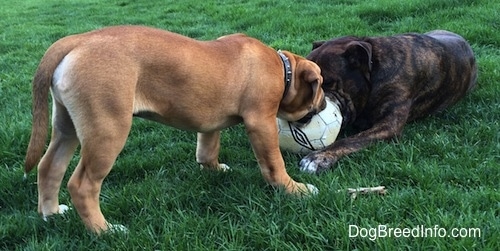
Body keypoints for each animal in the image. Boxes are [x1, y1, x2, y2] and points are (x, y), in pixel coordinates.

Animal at [25, 25, 326, 233]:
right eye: (321, 85)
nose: (324, 104)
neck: (284, 69)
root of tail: (77, 40)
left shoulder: (210, 122)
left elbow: (207, 147)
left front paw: (214, 169)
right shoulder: (261, 122)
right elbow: (274, 163)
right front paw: (293, 189)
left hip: (67, 126)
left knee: (49, 167)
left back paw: (52, 213)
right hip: (108, 131)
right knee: (82, 185)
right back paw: (104, 231)